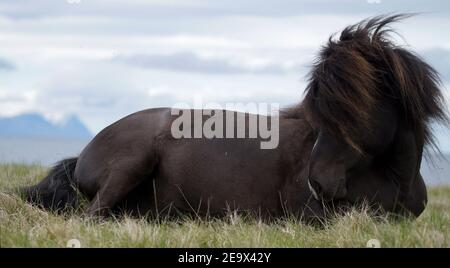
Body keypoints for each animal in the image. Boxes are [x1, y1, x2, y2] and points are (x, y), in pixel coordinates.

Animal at [23, 14, 446, 222]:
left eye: (352, 107)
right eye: (319, 111)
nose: (319, 184)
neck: (395, 178)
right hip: (131, 163)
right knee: (89, 218)